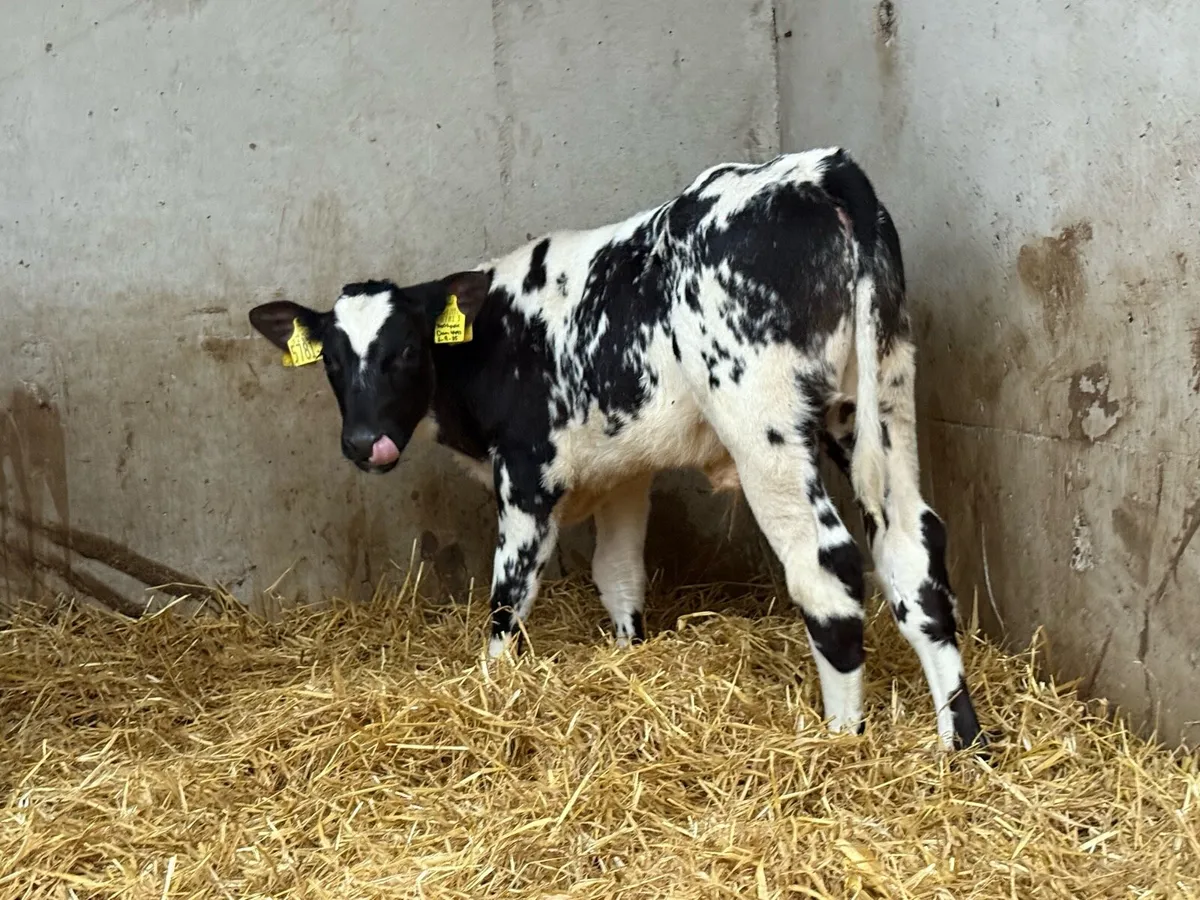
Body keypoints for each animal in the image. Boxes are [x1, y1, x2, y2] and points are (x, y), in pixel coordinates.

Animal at [247, 148, 985, 750]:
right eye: (331, 361)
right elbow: (619, 574)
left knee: (825, 563)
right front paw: (630, 653)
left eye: (405, 350)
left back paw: (839, 738)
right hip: (881, 398)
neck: (499, 332)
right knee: (914, 549)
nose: (363, 443)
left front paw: (493, 688)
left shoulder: (529, 473)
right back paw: (962, 740)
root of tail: (821, 170)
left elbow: (509, 595)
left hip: (763, 422)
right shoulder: (624, 470)